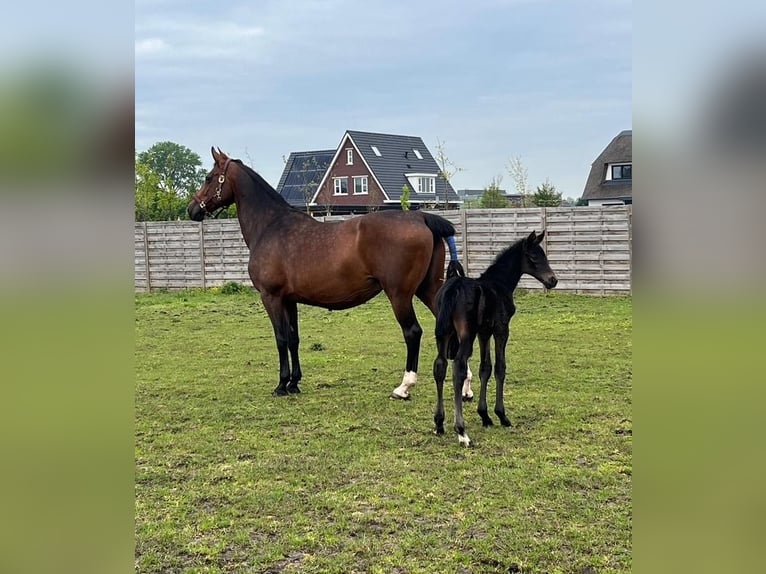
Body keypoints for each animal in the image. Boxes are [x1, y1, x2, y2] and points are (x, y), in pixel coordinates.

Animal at [188, 148, 462, 400]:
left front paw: (281, 385)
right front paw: (294, 383)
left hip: (400, 294)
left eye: (209, 178)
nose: (192, 209)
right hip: (428, 288)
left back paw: (404, 387)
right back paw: (465, 386)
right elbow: (294, 338)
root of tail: (421, 217)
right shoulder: (289, 300)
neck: (271, 226)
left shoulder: (271, 297)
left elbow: (281, 339)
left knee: (413, 332)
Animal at [432, 232, 560, 448]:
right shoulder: (501, 329)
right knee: (458, 368)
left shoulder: (484, 332)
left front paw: (485, 416)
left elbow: (485, 368)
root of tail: (453, 288)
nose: (552, 280)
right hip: (465, 335)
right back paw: (462, 432)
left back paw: (439, 423)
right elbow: (500, 367)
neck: (499, 285)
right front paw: (501, 416)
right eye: (534, 257)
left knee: (440, 366)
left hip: (444, 334)